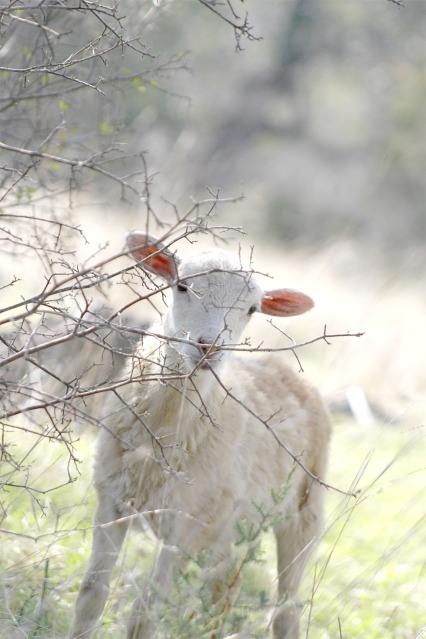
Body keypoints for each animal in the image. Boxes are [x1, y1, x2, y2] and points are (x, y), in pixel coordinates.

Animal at [68, 234, 332, 639]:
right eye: (181, 286)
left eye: (252, 308)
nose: (209, 347)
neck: (164, 429)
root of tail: (289, 371)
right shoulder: (111, 501)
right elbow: (92, 593)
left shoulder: (187, 524)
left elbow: (145, 612)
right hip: (231, 530)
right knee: (222, 595)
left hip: (305, 513)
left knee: (285, 609)